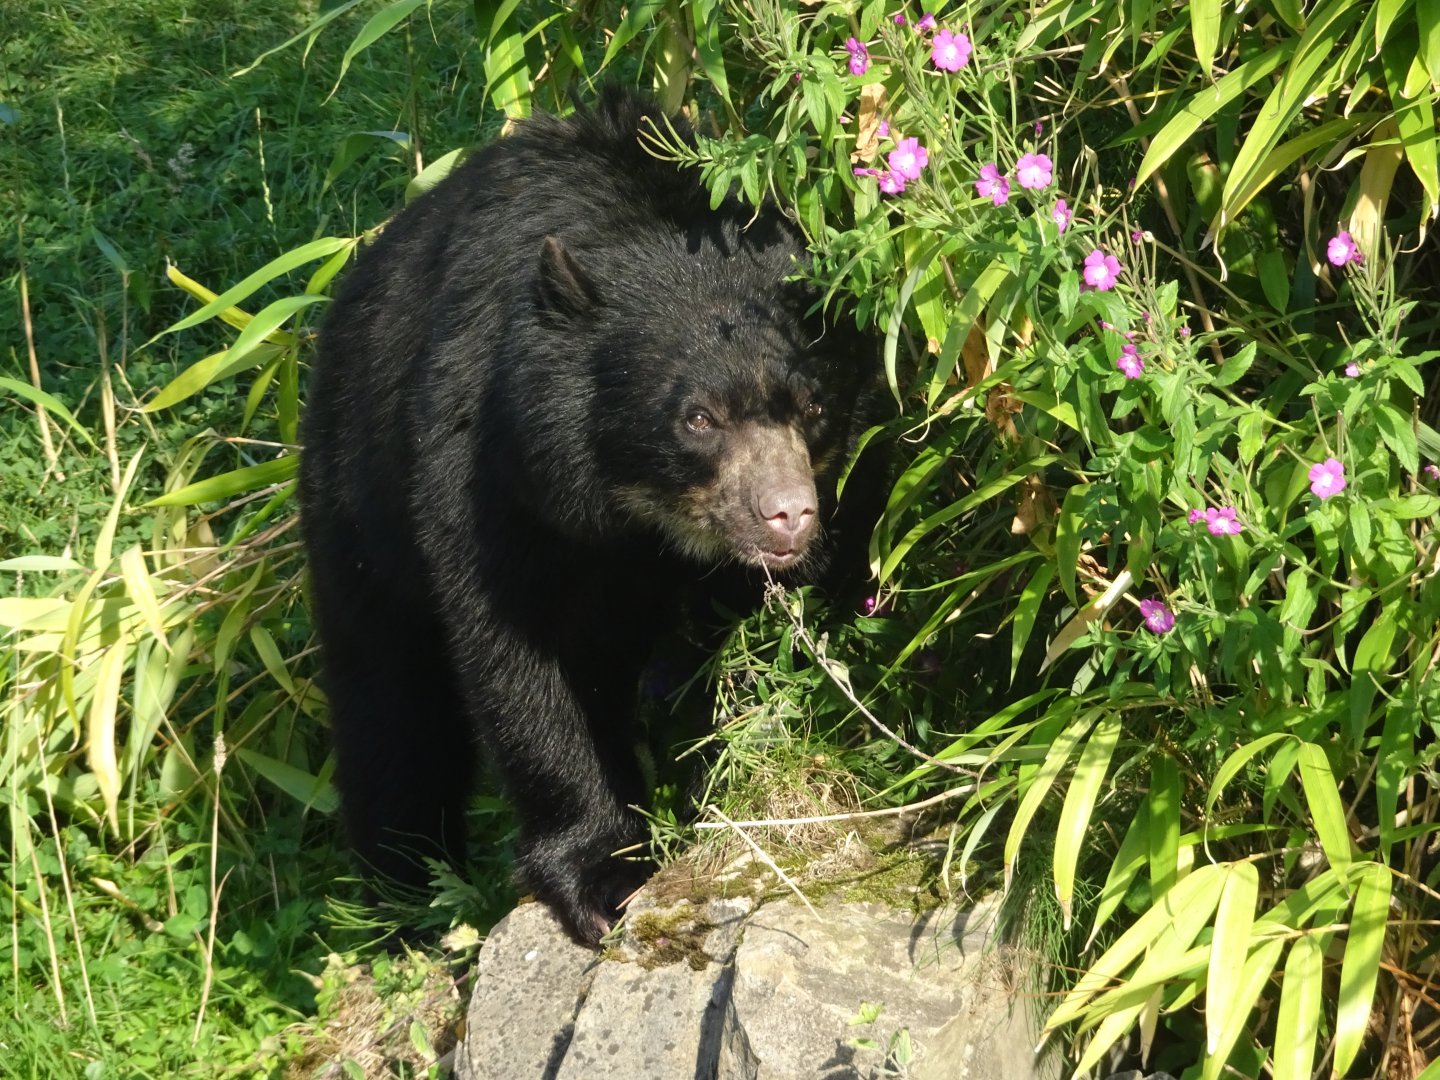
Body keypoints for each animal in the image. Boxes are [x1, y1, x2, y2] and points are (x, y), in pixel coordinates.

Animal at [298, 88, 881, 945]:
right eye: (698, 417)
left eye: (812, 405)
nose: (788, 517)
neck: (629, 511)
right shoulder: (483, 470)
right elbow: (523, 657)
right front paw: (601, 878)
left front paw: (704, 761)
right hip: (357, 499)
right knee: (387, 700)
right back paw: (402, 893)